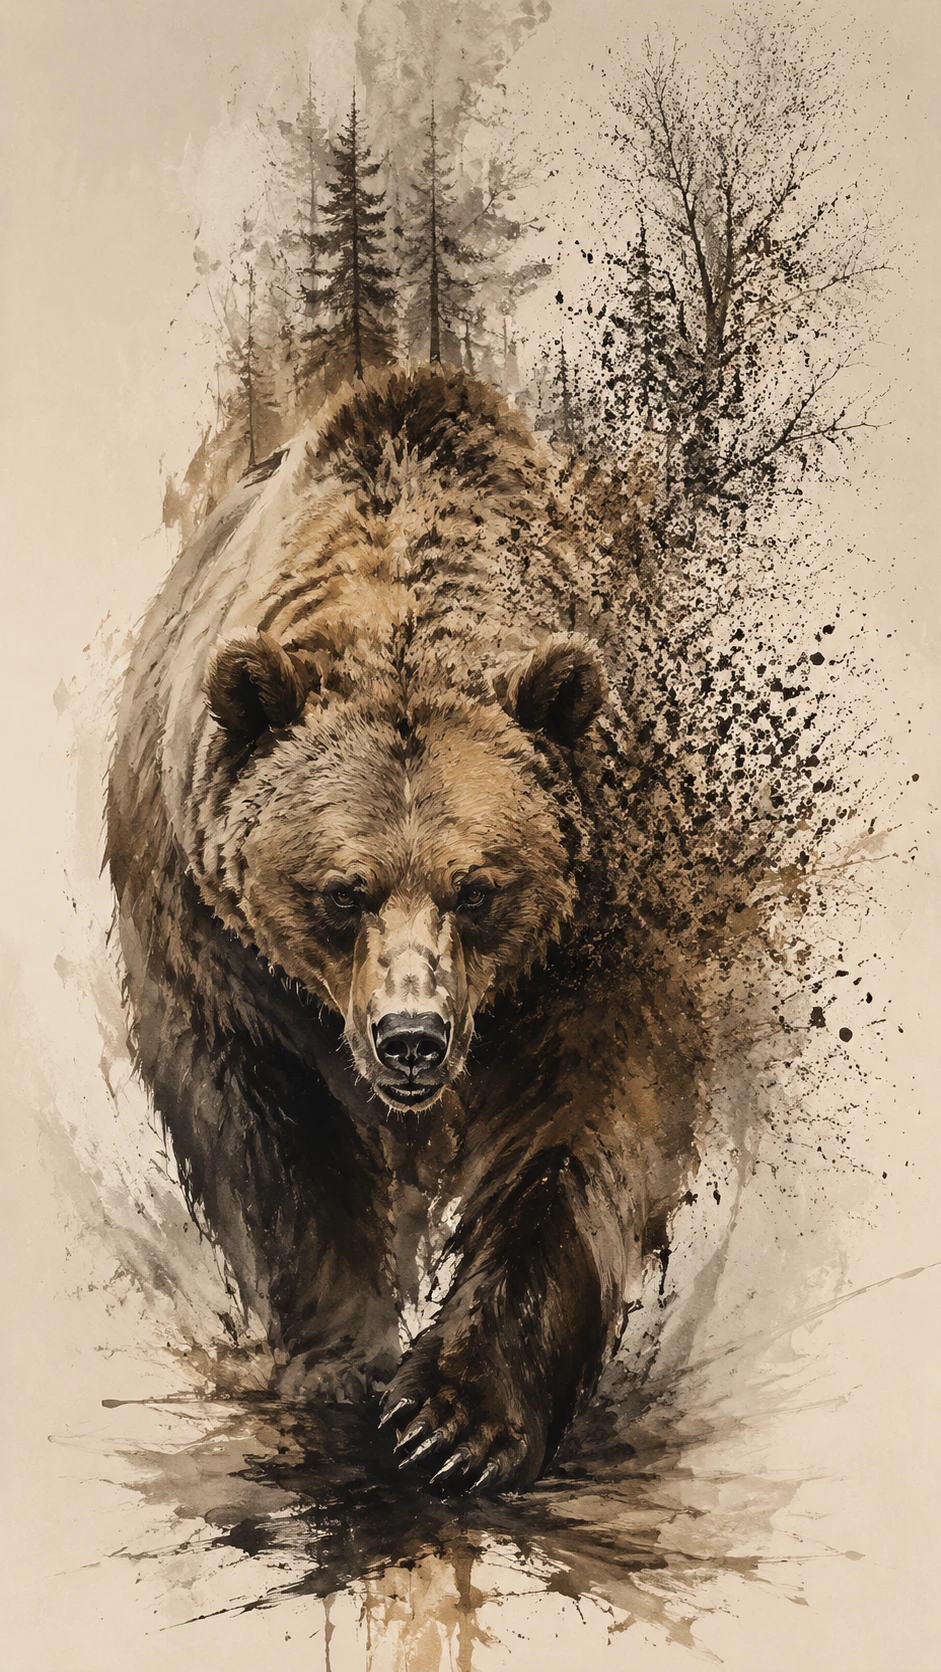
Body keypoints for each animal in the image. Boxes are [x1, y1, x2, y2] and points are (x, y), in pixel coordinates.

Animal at [107, 364, 704, 1494]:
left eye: (478, 889)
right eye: (343, 891)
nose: (411, 1038)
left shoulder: (594, 929)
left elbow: (580, 1131)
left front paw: (456, 1418)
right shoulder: (215, 943)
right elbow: (271, 1138)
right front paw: (341, 1366)